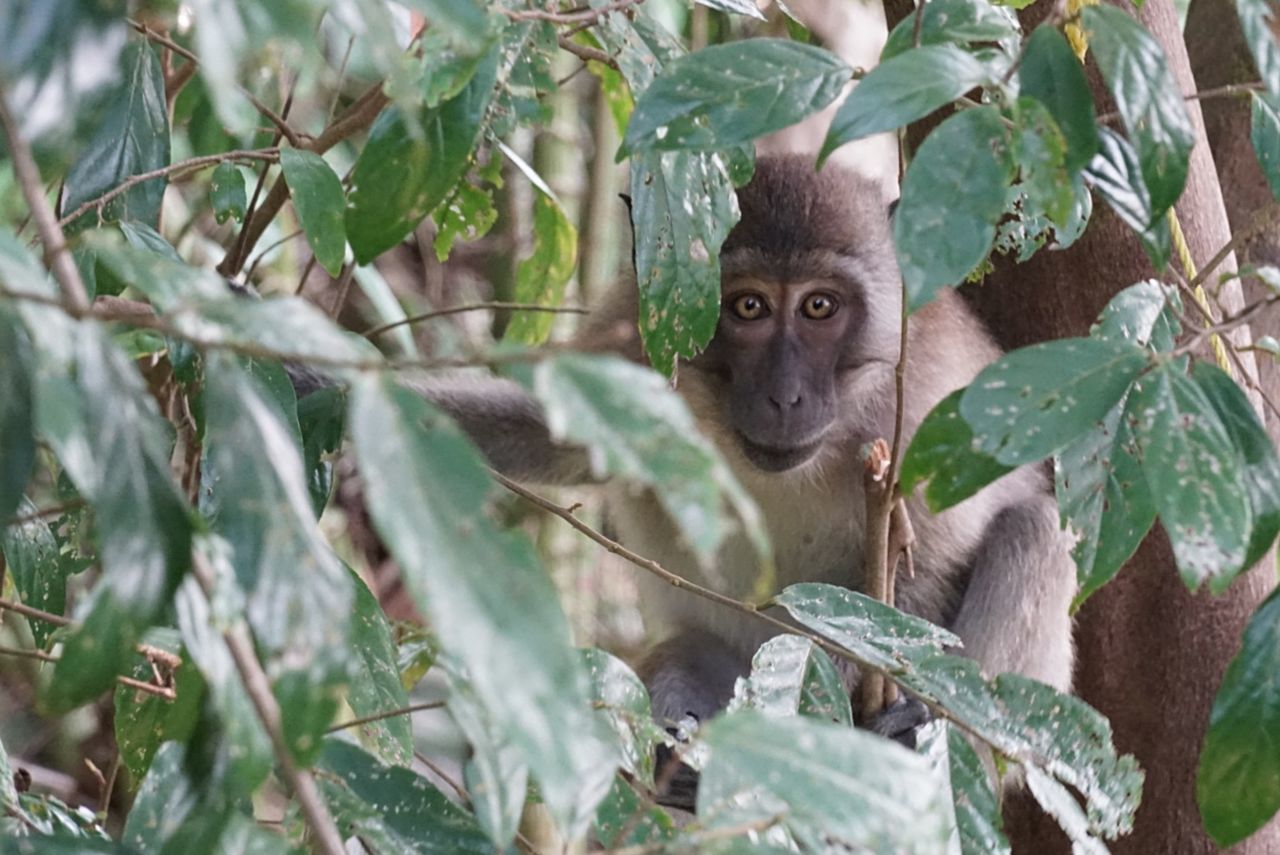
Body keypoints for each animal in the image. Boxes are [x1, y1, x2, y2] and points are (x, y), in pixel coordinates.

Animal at [414, 155, 1075, 803]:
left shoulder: (921, 411)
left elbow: (928, 573)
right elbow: (548, 435)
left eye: (818, 306)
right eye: (749, 306)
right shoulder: (637, 347)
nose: (784, 395)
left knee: (1035, 530)